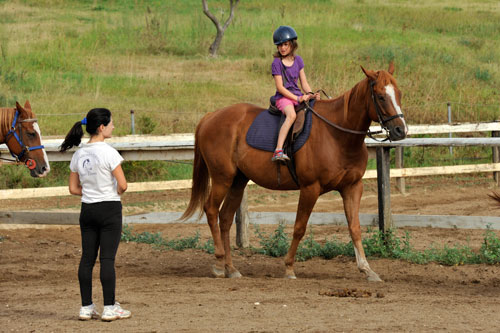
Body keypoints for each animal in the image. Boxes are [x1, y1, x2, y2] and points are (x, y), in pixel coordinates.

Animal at [182, 62, 408, 280]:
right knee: (211, 210)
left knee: (226, 218)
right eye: (381, 97)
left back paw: (230, 268)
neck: (337, 135)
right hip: (222, 178)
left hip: (238, 181)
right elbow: (300, 227)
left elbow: (355, 227)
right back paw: (219, 264)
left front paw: (367, 269)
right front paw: (289, 267)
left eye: (398, 94)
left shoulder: (352, 188)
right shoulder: (310, 188)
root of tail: (211, 116)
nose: (401, 130)